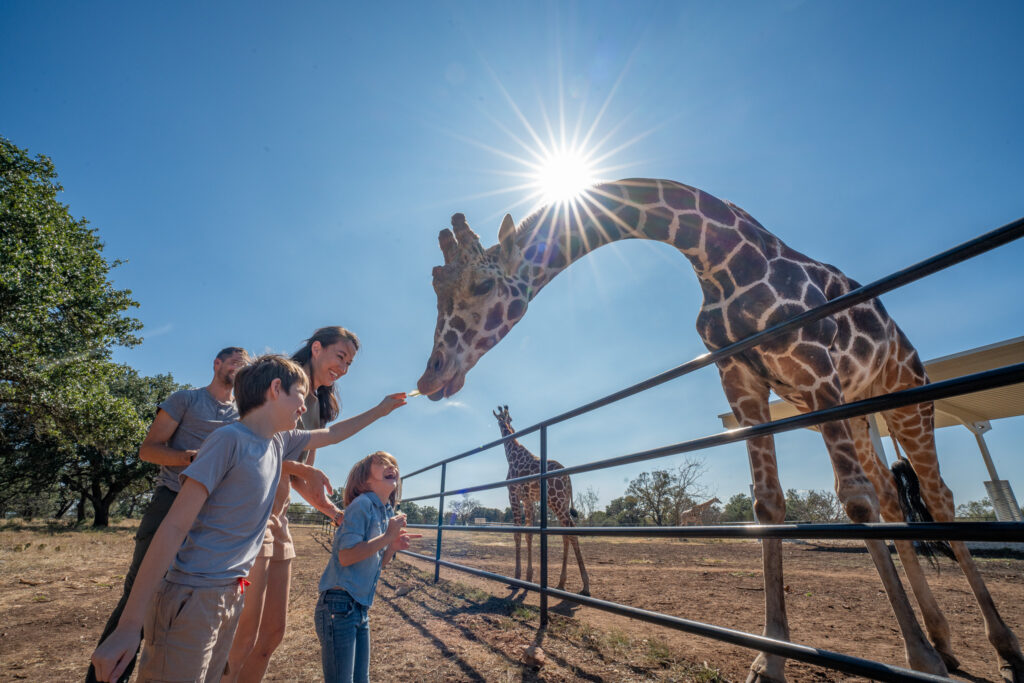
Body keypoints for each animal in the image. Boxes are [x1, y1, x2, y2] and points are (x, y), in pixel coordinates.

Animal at [493, 405, 591, 597]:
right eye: (510, 418)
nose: (508, 425)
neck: (512, 454)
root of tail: (568, 478)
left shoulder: (513, 495)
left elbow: (517, 533)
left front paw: (516, 578)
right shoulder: (528, 500)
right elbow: (529, 534)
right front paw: (529, 577)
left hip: (556, 500)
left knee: (571, 532)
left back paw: (585, 586)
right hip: (561, 502)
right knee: (566, 533)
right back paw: (561, 583)